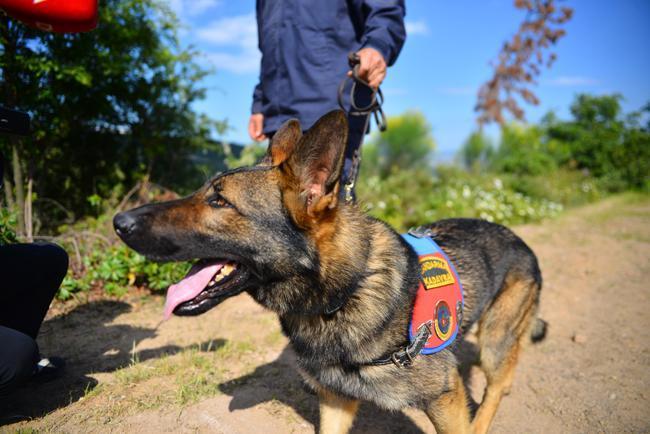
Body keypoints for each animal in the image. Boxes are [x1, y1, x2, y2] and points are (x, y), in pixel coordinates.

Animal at [115, 111, 540, 430]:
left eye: (219, 201)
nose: (120, 222)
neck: (344, 292)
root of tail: (519, 239)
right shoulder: (335, 402)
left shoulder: (445, 398)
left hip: (495, 342)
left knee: (497, 387)